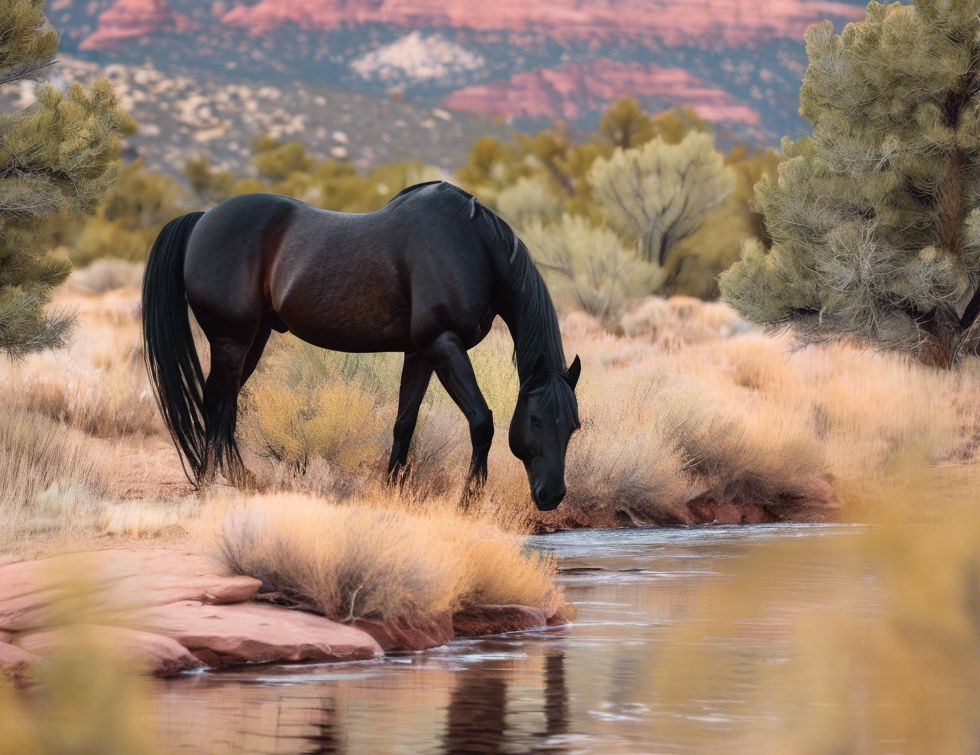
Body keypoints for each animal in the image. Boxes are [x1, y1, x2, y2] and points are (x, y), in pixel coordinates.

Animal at [141, 180, 581, 511]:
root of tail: (202, 219)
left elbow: (405, 422)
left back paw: (212, 478)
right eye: (536, 420)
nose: (552, 495)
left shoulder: (421, 351)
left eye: (573, 426)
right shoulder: (444, 345)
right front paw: (468, 500)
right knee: (222, 405)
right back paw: (230, 481)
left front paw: (393, 488)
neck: (472, 247)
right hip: (232, 340)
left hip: (253, 339)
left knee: (215, 403)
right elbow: (482, 421)